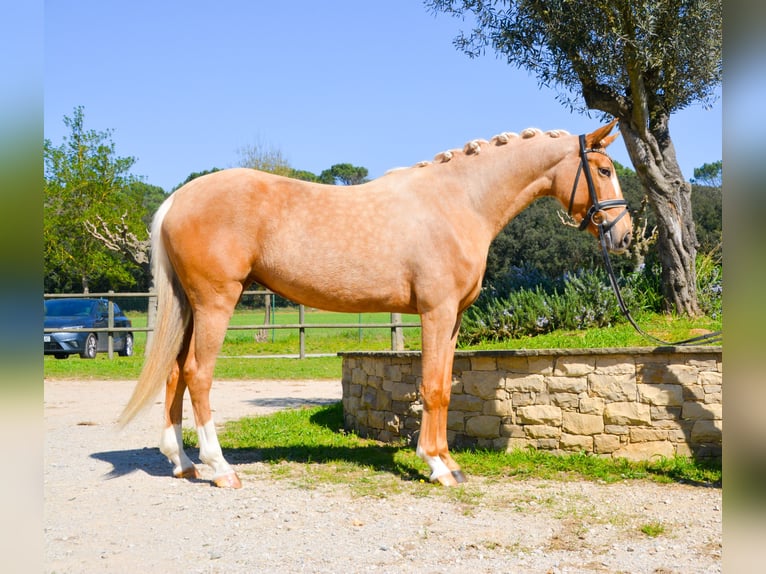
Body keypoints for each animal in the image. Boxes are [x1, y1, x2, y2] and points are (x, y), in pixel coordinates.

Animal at [119, 120, 631, 488]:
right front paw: (436, 467)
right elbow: (433, 387)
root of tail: (177, 199)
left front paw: (449, 461)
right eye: (604, 170)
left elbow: (445, 386)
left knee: (174, 373)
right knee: (197, 374)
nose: (623, 236)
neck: (460, 200)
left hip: (191, 307)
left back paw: (182, 462)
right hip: (216, 303)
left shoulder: (453, 319)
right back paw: (220, 468)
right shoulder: (436, 312)